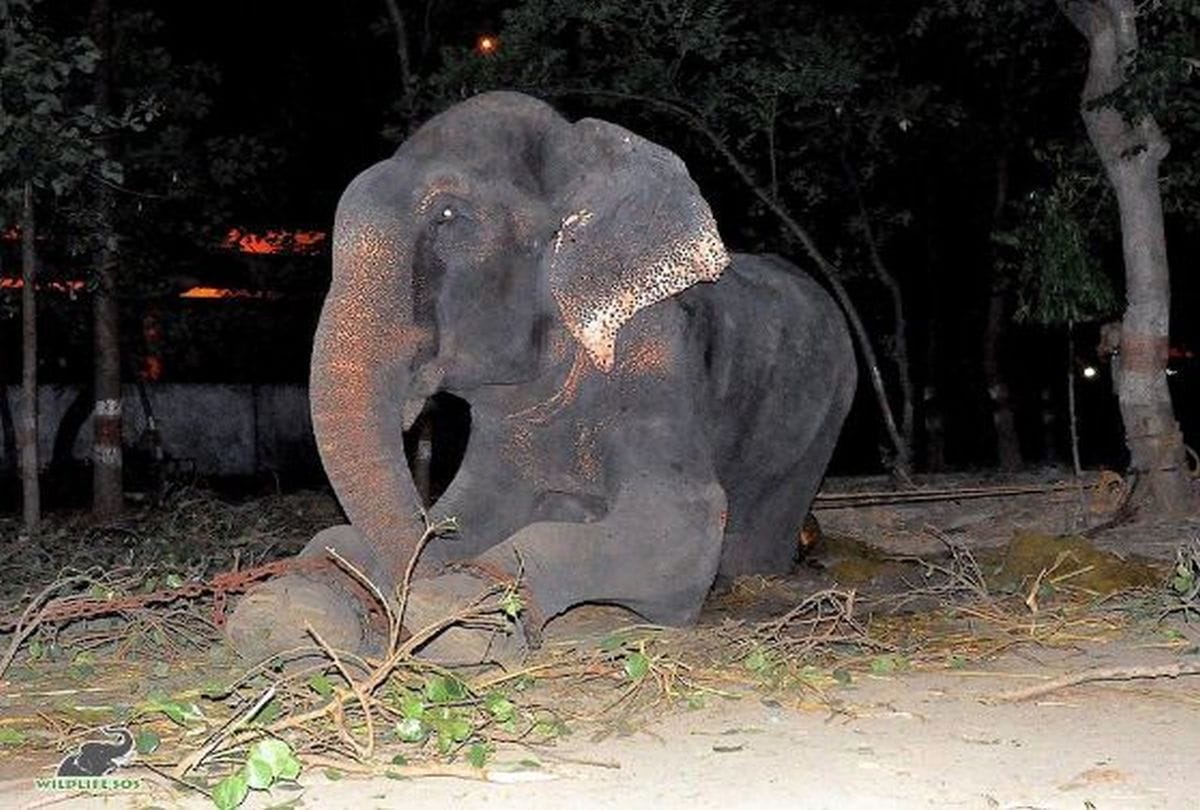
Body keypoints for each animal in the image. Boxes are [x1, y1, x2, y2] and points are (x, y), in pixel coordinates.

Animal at [228, 91, 856, 664]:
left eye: (449, 216)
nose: (405, 595)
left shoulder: (655, 354)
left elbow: (682, 524)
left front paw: (457, 615)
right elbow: (465, 509)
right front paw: (283, 612)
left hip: (825, 419)